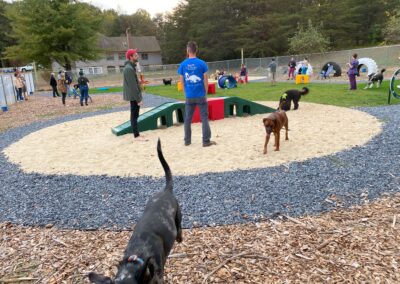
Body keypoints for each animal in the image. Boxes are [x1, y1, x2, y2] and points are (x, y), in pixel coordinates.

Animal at [89, 140, 183, 284]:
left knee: (179, 226)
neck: (136, 258)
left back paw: (179, 237)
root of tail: (166, 190)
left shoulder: (158, 277)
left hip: (178, 214)